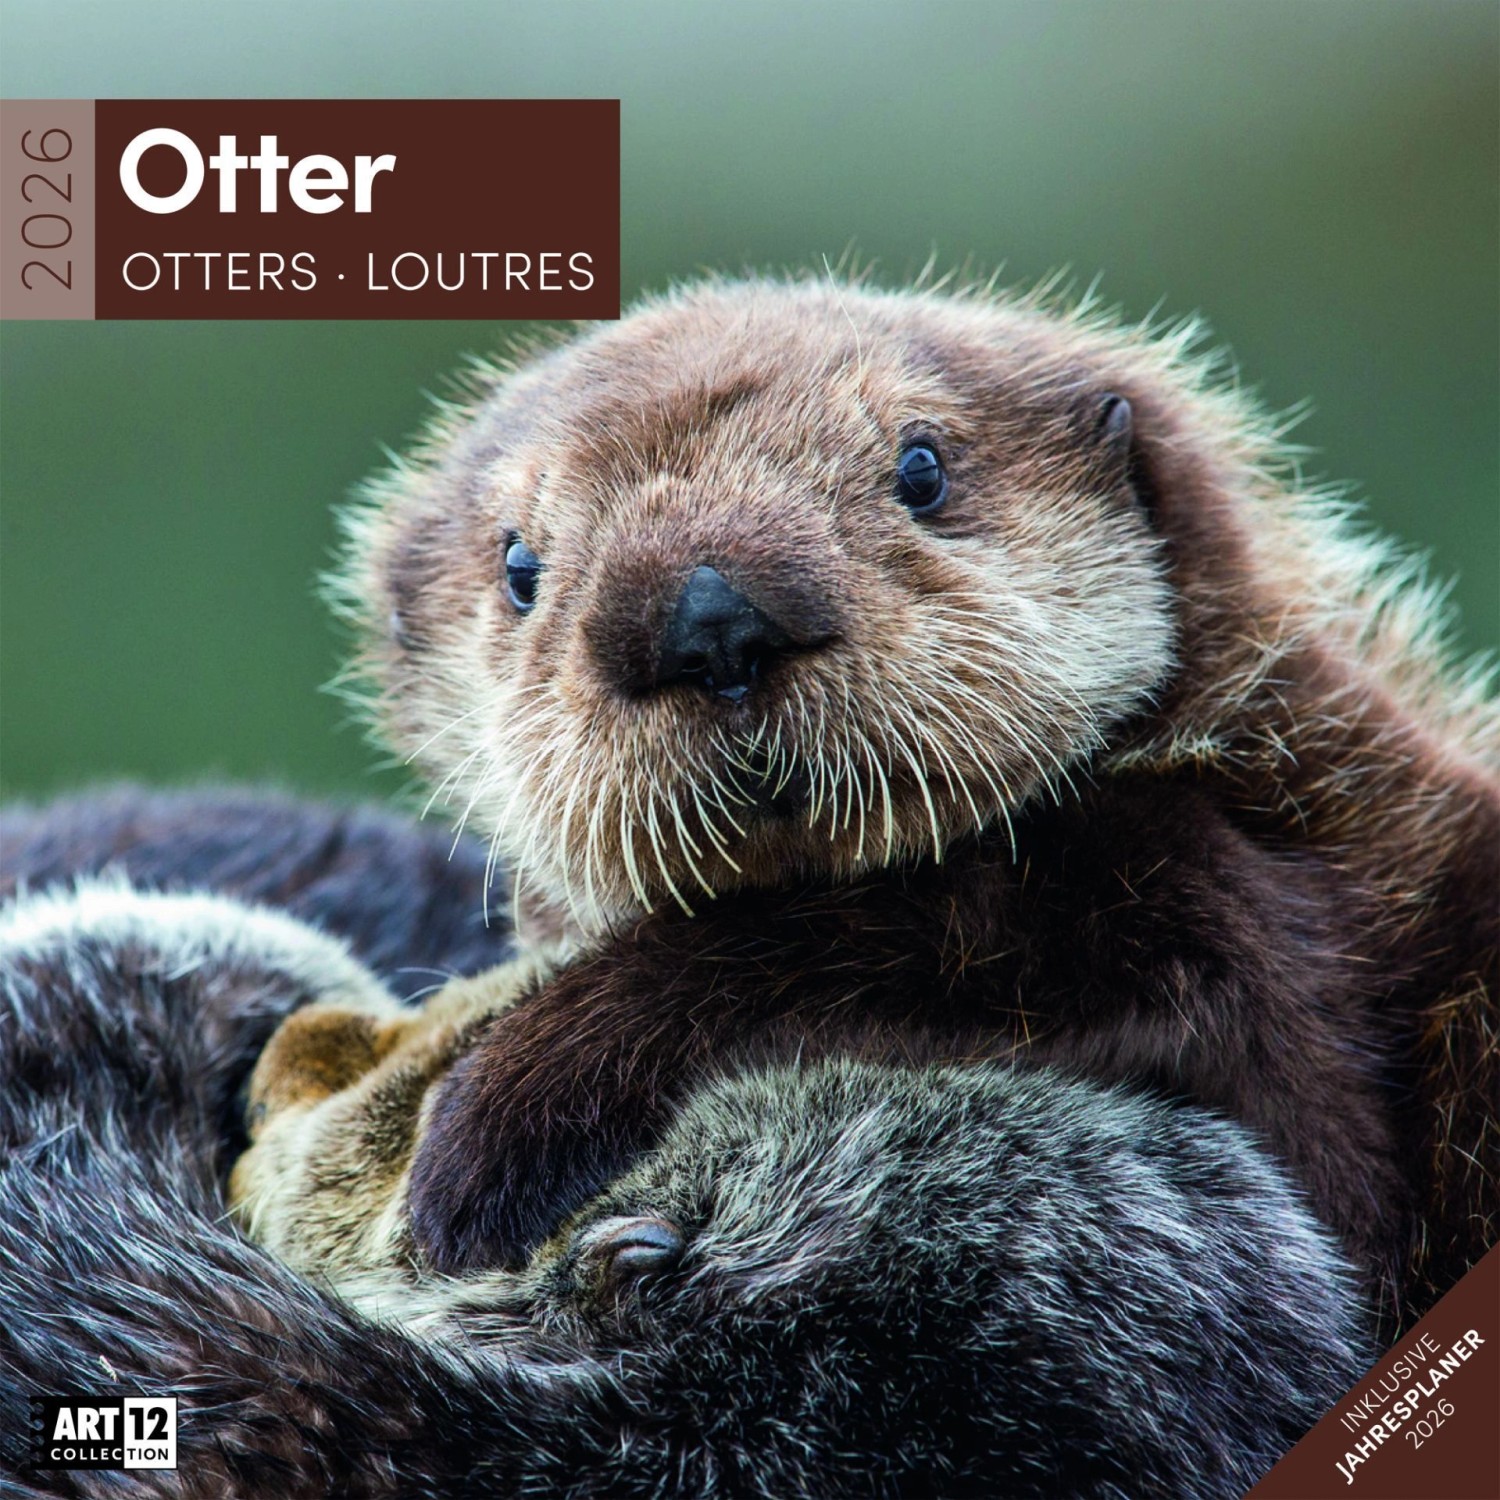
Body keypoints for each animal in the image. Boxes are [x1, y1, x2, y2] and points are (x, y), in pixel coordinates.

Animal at [235, 273, 1496, 1335]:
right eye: (519, 568)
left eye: (922, 468)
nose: (708, 618)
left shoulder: (1259, 901)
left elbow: (906, 933)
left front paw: (499, 1117)